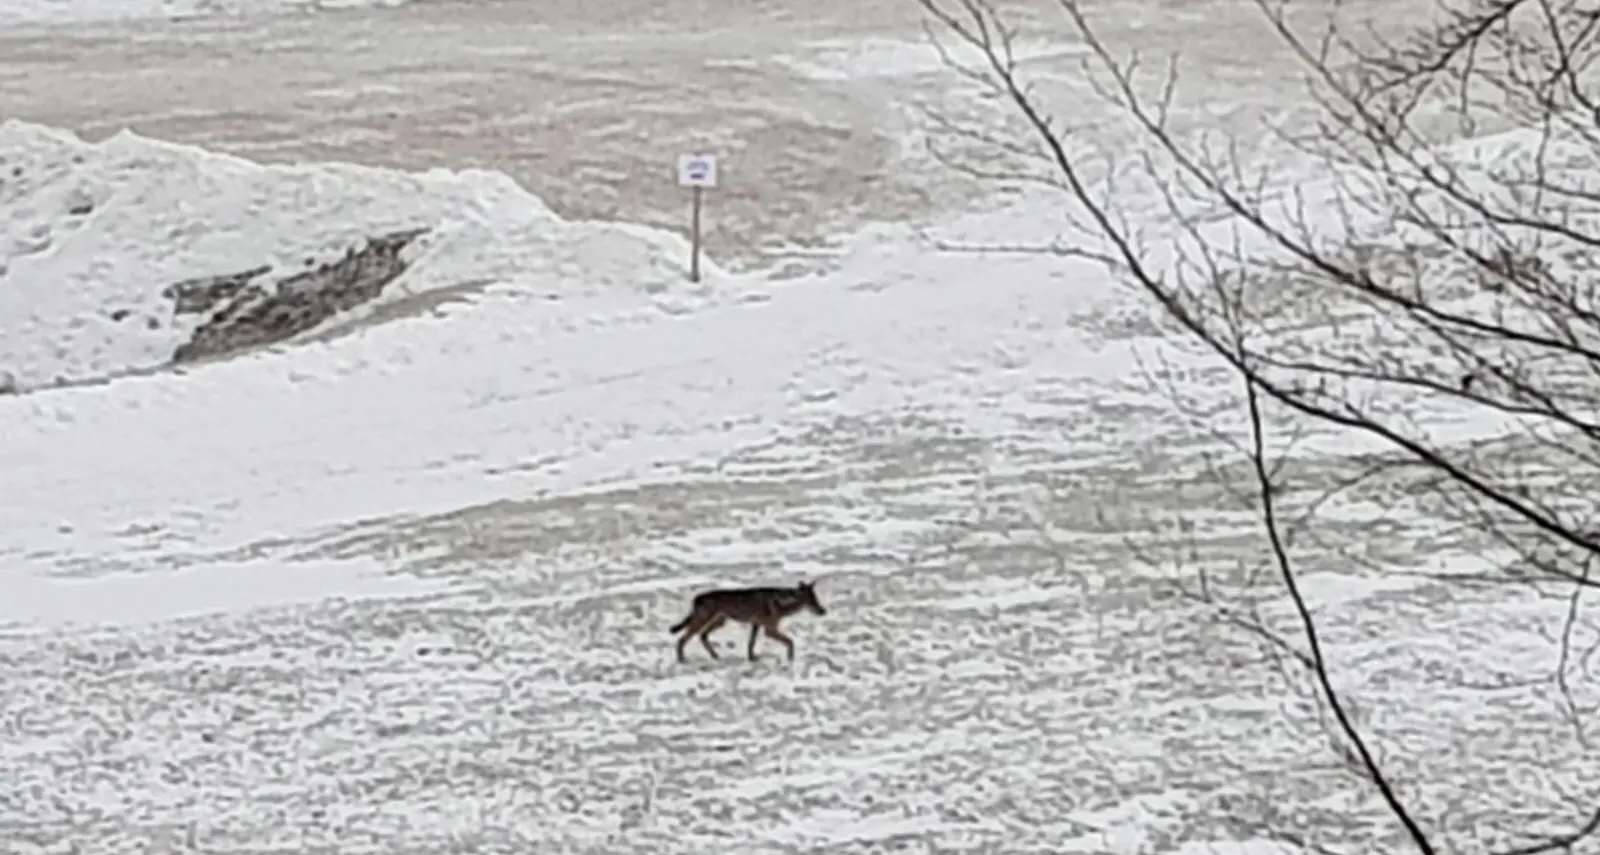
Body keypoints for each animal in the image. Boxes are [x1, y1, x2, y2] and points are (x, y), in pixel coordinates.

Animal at [668, 581, 827, 663]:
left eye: (816, 599)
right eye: (811, 601)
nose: (823, 611)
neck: (781, 603)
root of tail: (696, 599)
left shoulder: (756, 624)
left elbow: (751, 644)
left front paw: (752, 658)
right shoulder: (769, 629)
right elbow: (790, 641)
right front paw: (790, 659)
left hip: (720, 621)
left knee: (702, 636)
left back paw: (716, 656)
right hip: (704, 621)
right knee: (682, 639)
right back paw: (682, 660)